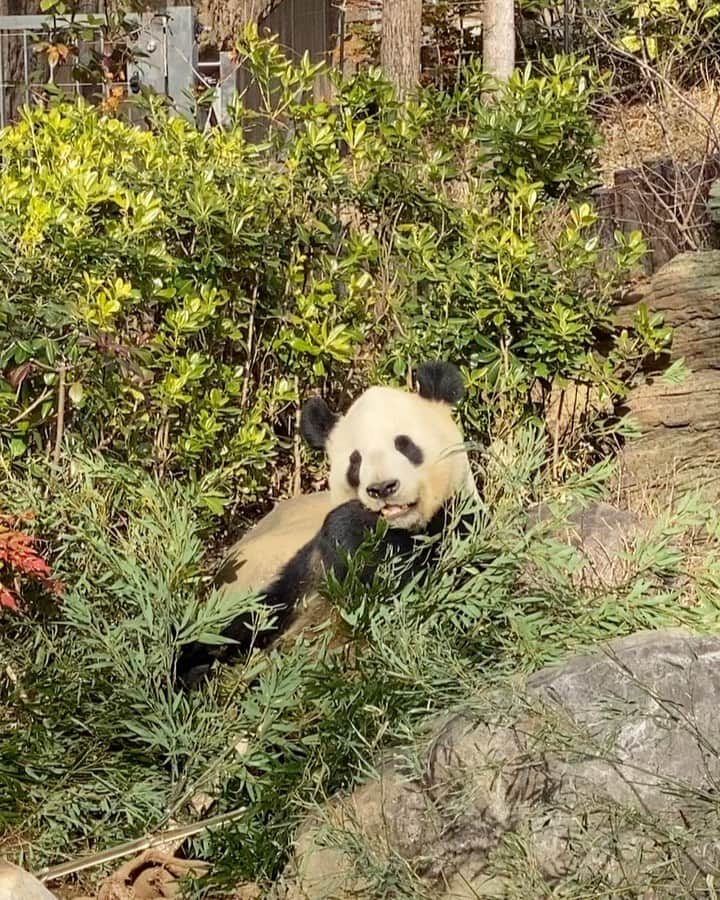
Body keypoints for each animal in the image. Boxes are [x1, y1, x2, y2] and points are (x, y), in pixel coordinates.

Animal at [176, 362, 476, 684]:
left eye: (405, 445)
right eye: (355, 461)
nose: (382, 488)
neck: (401, 527)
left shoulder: (458, 528)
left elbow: (432, 581)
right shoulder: (306, 568)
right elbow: (259, 613)